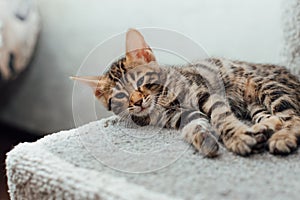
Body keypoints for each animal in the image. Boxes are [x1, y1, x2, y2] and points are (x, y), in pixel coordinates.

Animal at [71, 28, 300, 157]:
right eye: (119, 96)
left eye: (140, 81)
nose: (137, 101)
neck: (161, 101)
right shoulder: (181, 115)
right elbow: (193, 126)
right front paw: (204, 139)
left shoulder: (205, 94)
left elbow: (221, 117)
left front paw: (236, 137)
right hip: (255, 102)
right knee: (273, 117)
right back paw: (265, 128)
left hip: (265, 85)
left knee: (293, 116)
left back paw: (283, 136)